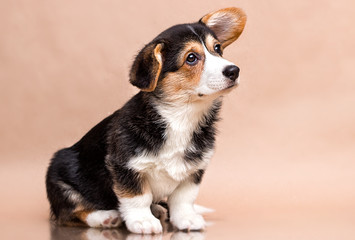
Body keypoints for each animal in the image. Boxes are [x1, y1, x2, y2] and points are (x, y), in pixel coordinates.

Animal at [46, 7, 248, 234]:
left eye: (217, 49)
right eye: (191, 58)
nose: (234, 70)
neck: (181, 116)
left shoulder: (193, 172)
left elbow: (183, 199)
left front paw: (186, 218)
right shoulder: (125, 166)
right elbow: (138, 197)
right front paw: (142, 221)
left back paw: (158, 209)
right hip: (58, 176)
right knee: (69, 212)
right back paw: (105, 217)